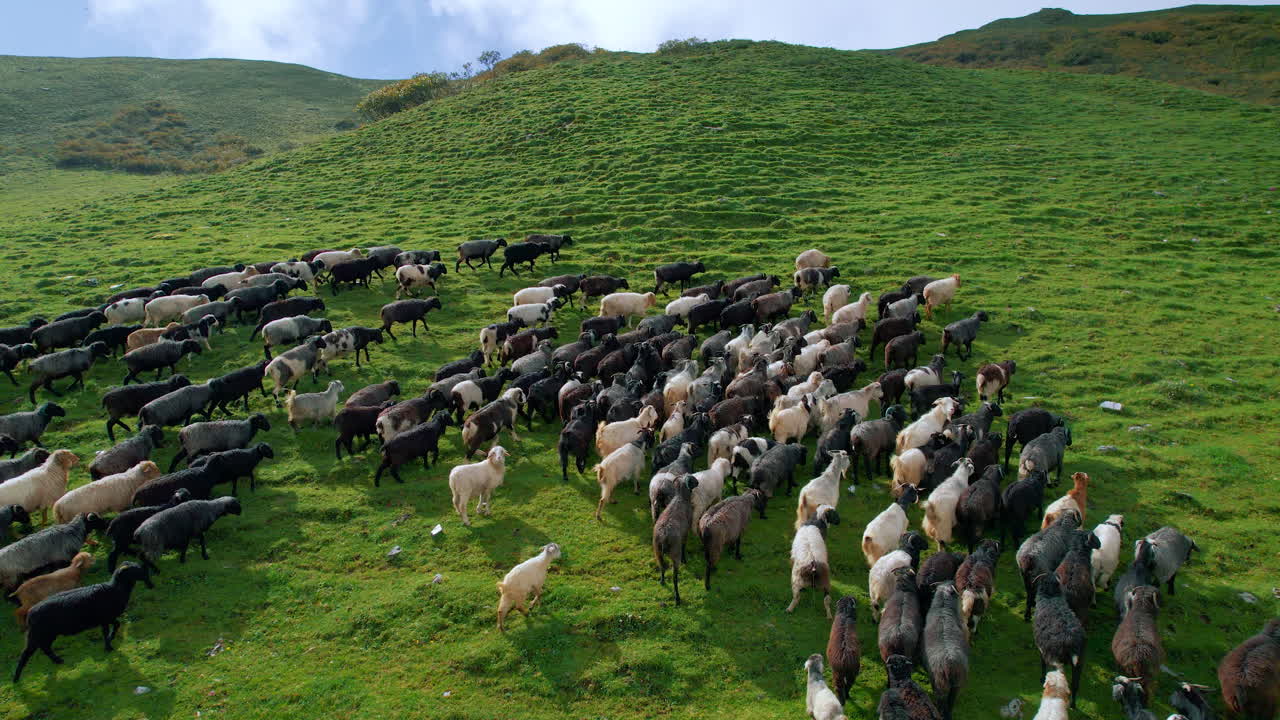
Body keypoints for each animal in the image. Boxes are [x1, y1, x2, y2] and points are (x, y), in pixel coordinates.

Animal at [12, 562, 152, 683]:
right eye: (135, 570)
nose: (147, 576)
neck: (116, 590)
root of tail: (30, 613)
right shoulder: (105, 618)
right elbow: (110, 629)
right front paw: (109, 646)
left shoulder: (107, 619)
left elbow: (115, 626)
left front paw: (110, 641)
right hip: (37, 634)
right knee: (26, 654)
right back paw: (16, 678)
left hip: (48, 634)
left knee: (45, 648)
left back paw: (57, 660)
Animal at [923, 582, 969, 720]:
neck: (943, 609)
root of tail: (951, 664)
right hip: (957, 685)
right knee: (951, 703)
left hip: (940, 686)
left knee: (942, 703)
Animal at [1032, 573, 1086, 708]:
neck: (1051, 597)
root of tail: (1072, 642)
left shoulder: (1042, 649)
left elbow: (1042, 664)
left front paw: (1041, 678)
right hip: (1080, 661)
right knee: (1075, 685)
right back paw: (1073, 705)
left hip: (1057, 660)